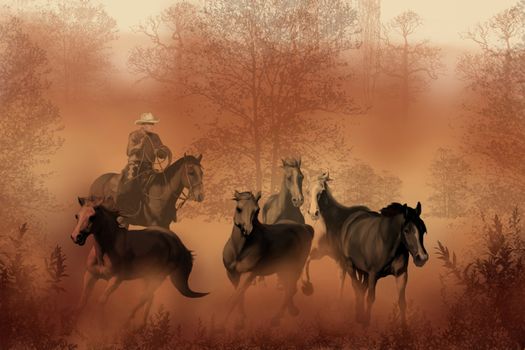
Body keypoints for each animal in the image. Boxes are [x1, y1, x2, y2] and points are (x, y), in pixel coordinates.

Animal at [70, 197, 209, 322]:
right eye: (77, 216)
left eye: (92, 217)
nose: (76, 237)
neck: (105, 252)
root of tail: (177, 242)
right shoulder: (90, 275)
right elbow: (81, 303)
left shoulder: (116, 279)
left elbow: (101, 301)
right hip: (147, 276)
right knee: (149, 297)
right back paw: (140, 327)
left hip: (158, 277)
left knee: (144, 297)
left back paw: (127, 325)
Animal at [220, 190, 312, 326]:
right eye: (238, 209)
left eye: (257, 210)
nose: (247, 230)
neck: (240, 250)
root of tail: (305, 228)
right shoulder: (231, 274)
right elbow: (239, 296)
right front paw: (240, 319)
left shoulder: (249, 274)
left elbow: (235, 297)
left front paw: (220, 325)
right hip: (283, 269)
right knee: (289, 289)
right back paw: (292, 311)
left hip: (295, 268)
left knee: (291, 289)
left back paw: (276, 318)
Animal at [304, 172, 428, 326]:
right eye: (406, 230)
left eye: (423, 230)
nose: (422, 258)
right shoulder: (367, 272)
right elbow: (368, 296)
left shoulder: (401, 275)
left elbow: (401, 302)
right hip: (354, 267)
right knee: (357, 287)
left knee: (360, 288)